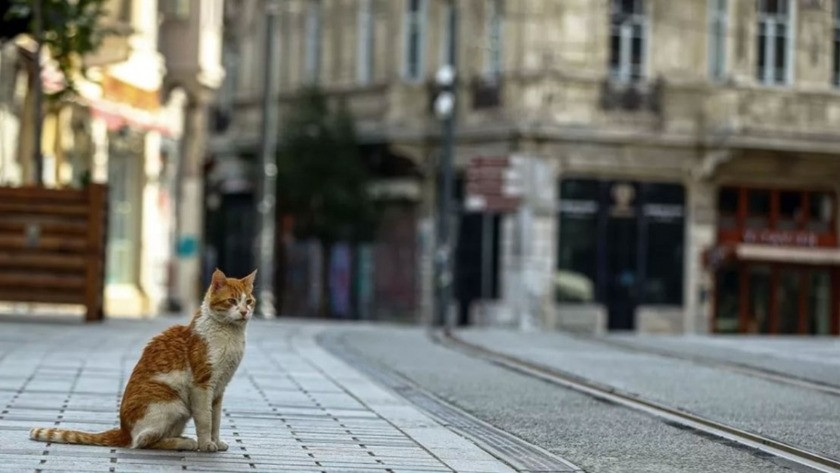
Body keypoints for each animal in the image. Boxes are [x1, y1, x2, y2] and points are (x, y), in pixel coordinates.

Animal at [28, 270, 256, 450]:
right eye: (232, 301)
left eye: (249, 301)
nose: (245, 311)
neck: (231, 336)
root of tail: (123, 430)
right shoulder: (202, 386)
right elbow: (205, 420)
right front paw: (206, 444)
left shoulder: (219, 389)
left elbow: (215, 420)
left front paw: (215, 441)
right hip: (174, 404)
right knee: (142, 441)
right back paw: (185, 443)